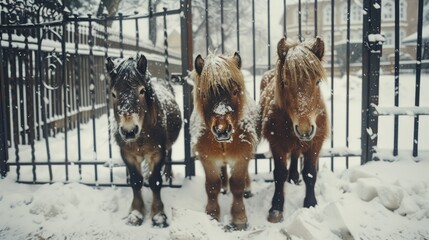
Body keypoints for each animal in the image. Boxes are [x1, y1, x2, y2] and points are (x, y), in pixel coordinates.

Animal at [106, 54, 181, 227]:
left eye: (142, 91)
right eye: (113, 94)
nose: (129, 131)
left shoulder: (157, 153)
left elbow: (155, 181)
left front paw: (159, 215)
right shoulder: (128, 155)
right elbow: (136, 181)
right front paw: (136, 213)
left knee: (169, 155)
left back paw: (168, 175)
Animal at [191, 53, 258, 231]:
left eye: (235, 91)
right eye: (205, 94)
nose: (222, 130)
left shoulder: (242, 158)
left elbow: (237, 185)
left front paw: (240, 218)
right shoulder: (208, 159)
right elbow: (212, 186)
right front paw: (212, 214)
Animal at [260, 37, 326, 223]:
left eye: (317, 81)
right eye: (285, 83)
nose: (304, 129)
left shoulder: (315, 143)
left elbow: (310, 173)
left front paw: (310, 203)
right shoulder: (276, 144)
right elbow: (279, 174)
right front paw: (276, 208)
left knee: (296, 154)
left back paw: (295, 177)